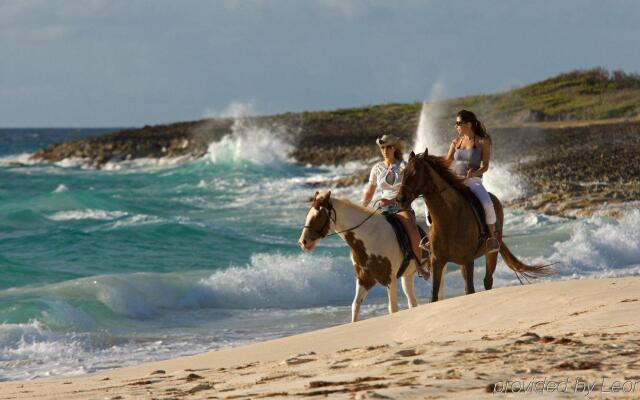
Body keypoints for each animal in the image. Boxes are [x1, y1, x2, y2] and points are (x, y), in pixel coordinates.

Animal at [298, 191, 422, 322]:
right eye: (307, 215)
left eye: (319, 216)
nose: (302, 242)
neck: (372, 237)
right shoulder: (364, 279)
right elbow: (355, 305)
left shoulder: (390, 279)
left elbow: (393, 308)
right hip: (407, 276)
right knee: (412, 300)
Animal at [396, 148, 552, 302]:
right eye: (402, 173)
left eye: (415, 172)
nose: (399, 199)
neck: (449, 218)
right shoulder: (437, 261)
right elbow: (434, 296)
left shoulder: (468, 260)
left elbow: (470, 290)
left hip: (491, 253)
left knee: (487, 281)